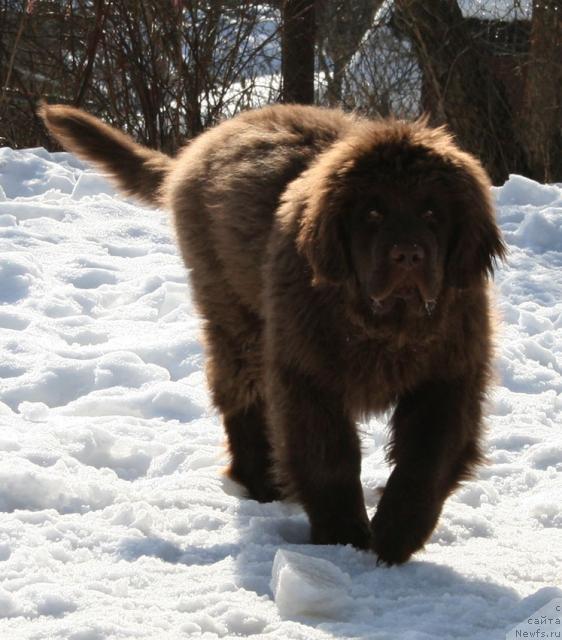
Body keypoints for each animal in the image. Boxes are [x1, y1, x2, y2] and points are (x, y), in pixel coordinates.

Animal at [39, 104, 504, 564]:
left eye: (432, 215)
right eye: (373, 214)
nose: (407, 254)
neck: (386, 328)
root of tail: (201, 145)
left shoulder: (449, 374)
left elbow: (427, 458)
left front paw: (394, 536)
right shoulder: (306, 373)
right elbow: (328, 458)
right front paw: (343, 538)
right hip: (233, 313)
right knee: (238, 392)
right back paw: (259, 481)